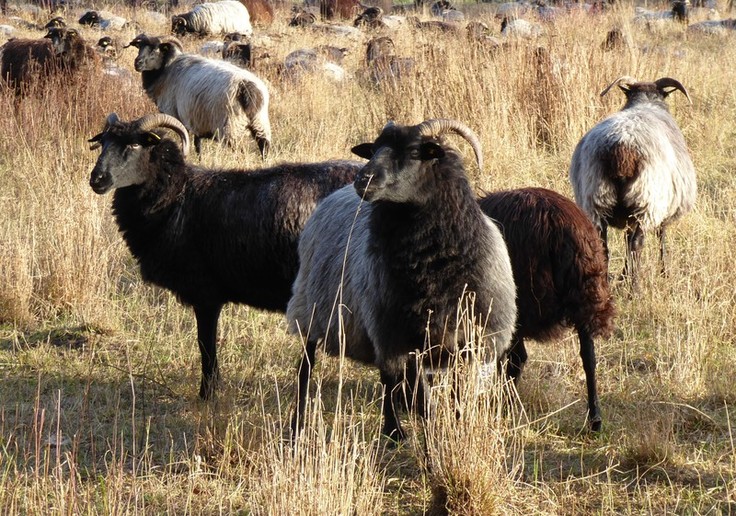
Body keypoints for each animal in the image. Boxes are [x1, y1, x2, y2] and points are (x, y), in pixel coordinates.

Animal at [87, 112, 364, 400]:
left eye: (133, 145)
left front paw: (207, 394)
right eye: (103, 143)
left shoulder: (205, 294)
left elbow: (206, 348)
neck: (176, 195)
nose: (97, 179)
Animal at [128, 33, 272, 157]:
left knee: (239, 150)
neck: (167, 69)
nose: (137, 63)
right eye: (139, 48)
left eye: (155, 50)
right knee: (264, 146)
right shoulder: (196, 120)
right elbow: (198, 144)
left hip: (230, 127)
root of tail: (247, 87)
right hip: (260, 122)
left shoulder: (176, 115)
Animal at [288, 119, 516, 442]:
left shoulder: (469, 340)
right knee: (310, 368)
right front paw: (431, 436)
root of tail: (333, 195)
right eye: (374, 148)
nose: (363, 180)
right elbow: (421, 397)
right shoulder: (401, 336)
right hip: (316, 310)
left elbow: (458, 394)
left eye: (414, 152)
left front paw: (458, 430)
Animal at [478, 187, 616, 430]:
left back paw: (504, 405)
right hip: (584, 298)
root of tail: (560, 226)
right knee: (589, 357)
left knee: (517, 359)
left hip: (522, 304)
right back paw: (595, 419)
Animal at [568, 75, 696, 290]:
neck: (646, 103)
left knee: (604, 247)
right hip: (647, 200)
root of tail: (622, 144)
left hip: (597, 199)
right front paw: (664, 273)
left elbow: (627, 241)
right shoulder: (662, 208)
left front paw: (623, 276)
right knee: (637, 243)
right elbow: (660, 238)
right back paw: (635, 289)